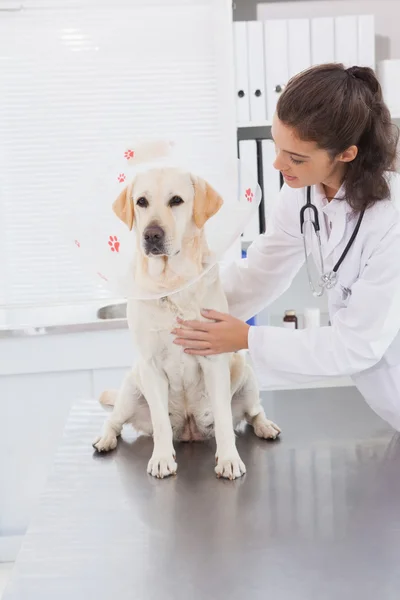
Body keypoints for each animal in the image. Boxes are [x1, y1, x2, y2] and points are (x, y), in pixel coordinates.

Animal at [94, 165, 282, 478]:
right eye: (141, 202)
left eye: (176, 201)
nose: (152, 235)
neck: (173, 285)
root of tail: (190, 430)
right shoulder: (151, 365)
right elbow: (160, 423)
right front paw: (161, 459)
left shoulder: (214, 359)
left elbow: (224, 420)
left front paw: (229, 460)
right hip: (131, 388)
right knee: (114, 422)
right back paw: (105, 439)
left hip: (245, 375)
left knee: (254, 412)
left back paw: (266, 427)